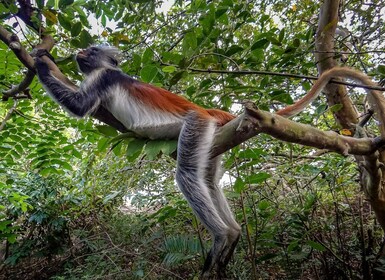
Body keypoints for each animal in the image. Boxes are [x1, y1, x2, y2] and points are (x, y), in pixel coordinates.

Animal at [33, 46, 384, 278]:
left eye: (90, 51)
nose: (79, 53)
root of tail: (207, 109)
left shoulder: (103, 77)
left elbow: (79, 105)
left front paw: (40, 60)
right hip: (213, 138)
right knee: (209, 181)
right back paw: (234, 233)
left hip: (197, 124)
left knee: (188, 175)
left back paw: (222, 235)